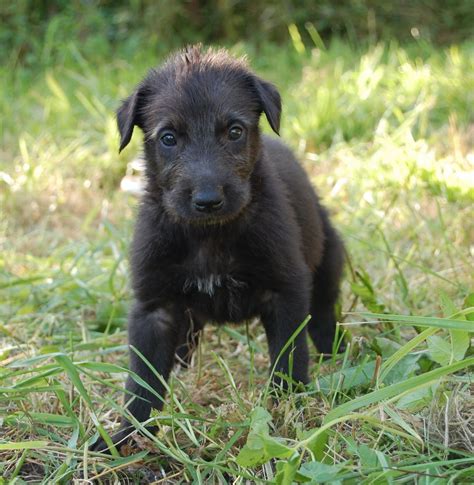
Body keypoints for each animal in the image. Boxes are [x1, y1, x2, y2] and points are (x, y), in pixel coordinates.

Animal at [92, 44, 344, 450]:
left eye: (235, 131)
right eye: (168, 138)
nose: (208, 200)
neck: (209, 236)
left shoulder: (286, 292)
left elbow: (288, 357)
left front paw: (288, 414)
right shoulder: (153, 308)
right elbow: (142, 380)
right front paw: (125, 435)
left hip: (329, 258)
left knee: (322, 310)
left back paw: (335, 348)